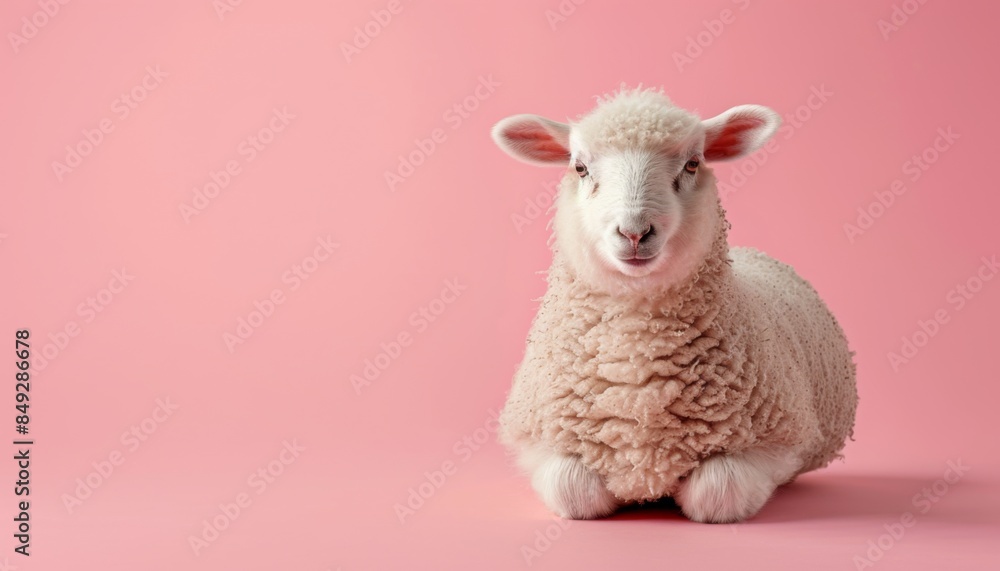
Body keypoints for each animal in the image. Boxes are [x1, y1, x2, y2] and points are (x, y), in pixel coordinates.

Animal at [491, 86, 857, 523]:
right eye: (580, 168)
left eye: (693, 163)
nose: (634, 232)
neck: (635, 365)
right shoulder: (541, 440)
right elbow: (573, 490)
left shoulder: (779, 442)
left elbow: (717, 492)